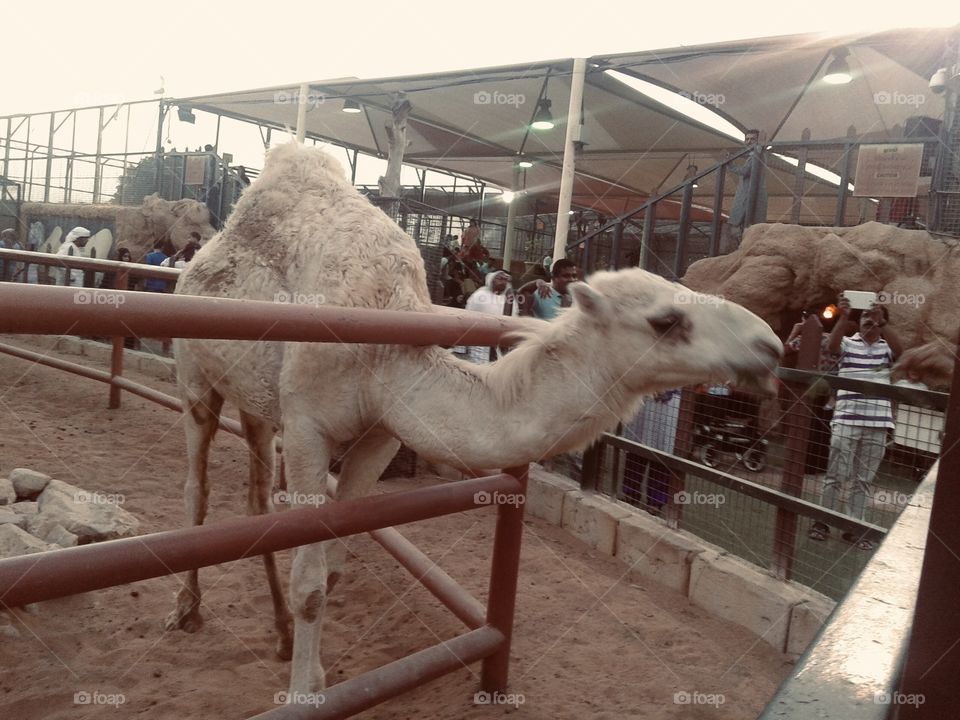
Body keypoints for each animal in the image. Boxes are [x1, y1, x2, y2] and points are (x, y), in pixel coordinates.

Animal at [167, 142, 782, 697]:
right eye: (665, 319)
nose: (769, 345)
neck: (385, 339)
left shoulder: (381, 433)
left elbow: (336, 565)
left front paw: (308, 665)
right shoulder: (308, 429)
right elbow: (313, 585)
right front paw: (302, 692)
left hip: (254, 400)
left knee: (257, 498)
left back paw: (276, 632)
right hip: (195, 376)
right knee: (196, 487)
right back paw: (186, 609)